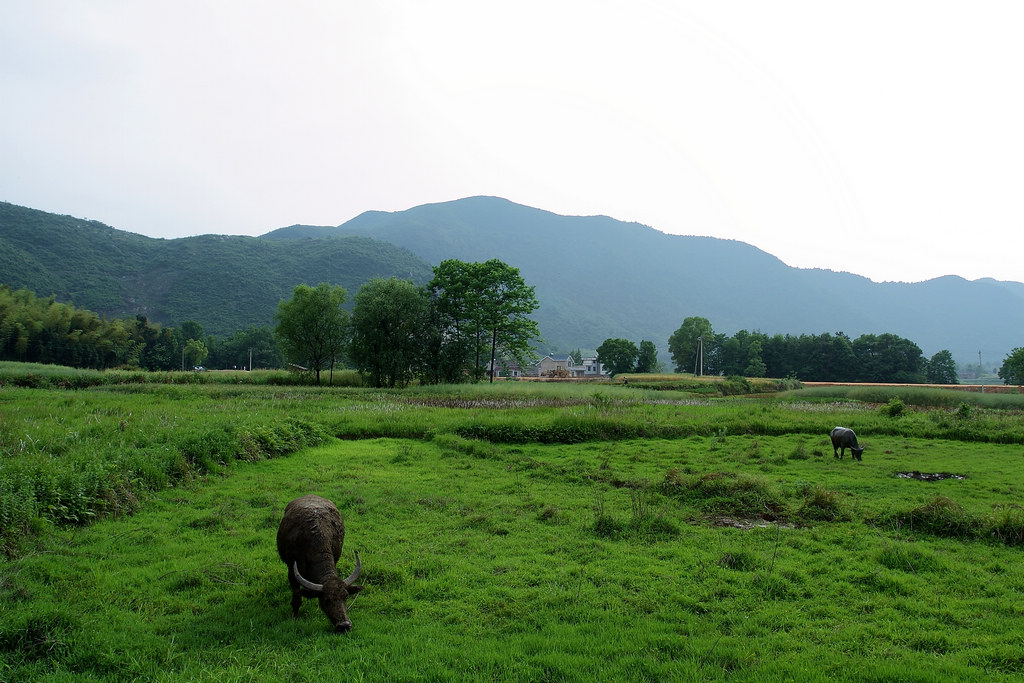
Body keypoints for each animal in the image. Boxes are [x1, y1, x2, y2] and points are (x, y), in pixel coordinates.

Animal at [276, 493, 364, 634]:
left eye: (345, 596)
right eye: (326, 600)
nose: (344, 625)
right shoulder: (291, 569)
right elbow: (296, 597)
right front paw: (294, 616)